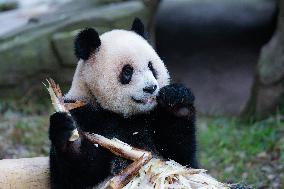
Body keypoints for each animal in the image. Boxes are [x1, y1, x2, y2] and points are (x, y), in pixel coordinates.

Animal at [49, 18, 197, 189]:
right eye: (127, 71)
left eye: (151, 66)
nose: (151, 88)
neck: (126, 116)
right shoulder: (84, 112)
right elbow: (74, 176)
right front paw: (69, 137)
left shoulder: (153, 116)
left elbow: (181, 158)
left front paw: (178, 102)